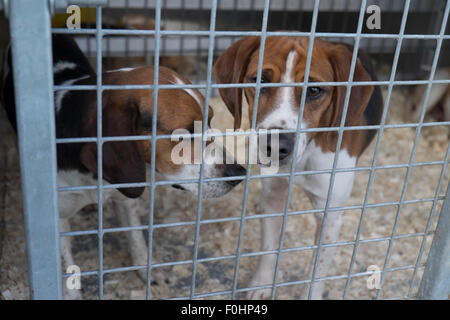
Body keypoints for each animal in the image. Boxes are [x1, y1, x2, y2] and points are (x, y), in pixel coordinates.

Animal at [214, 35, 384, 300]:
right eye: (260, 80)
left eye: (314, 90)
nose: (276, 144)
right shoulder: (274, 195)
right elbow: (268, 248)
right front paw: (262, 285)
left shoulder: (329, 216)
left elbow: (317, 269)